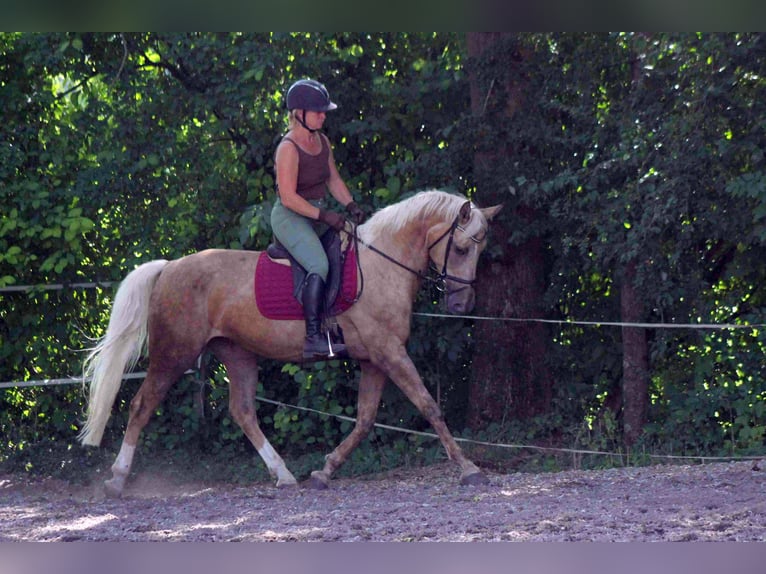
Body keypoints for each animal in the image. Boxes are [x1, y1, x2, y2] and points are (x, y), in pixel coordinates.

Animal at [79, 191, 504, 498]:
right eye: (461, 249)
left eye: (481, 250)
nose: (462, 306)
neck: (383, 264)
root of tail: (169, 267)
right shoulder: (389, 353)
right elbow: (428, 405)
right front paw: (469, 468)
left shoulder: (374, 359)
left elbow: (365, 420)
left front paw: (324, 471)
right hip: (174, 353)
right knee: (142, 405)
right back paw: (117, 479)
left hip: (237, 354)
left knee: (243, 411)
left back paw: (283, 475)